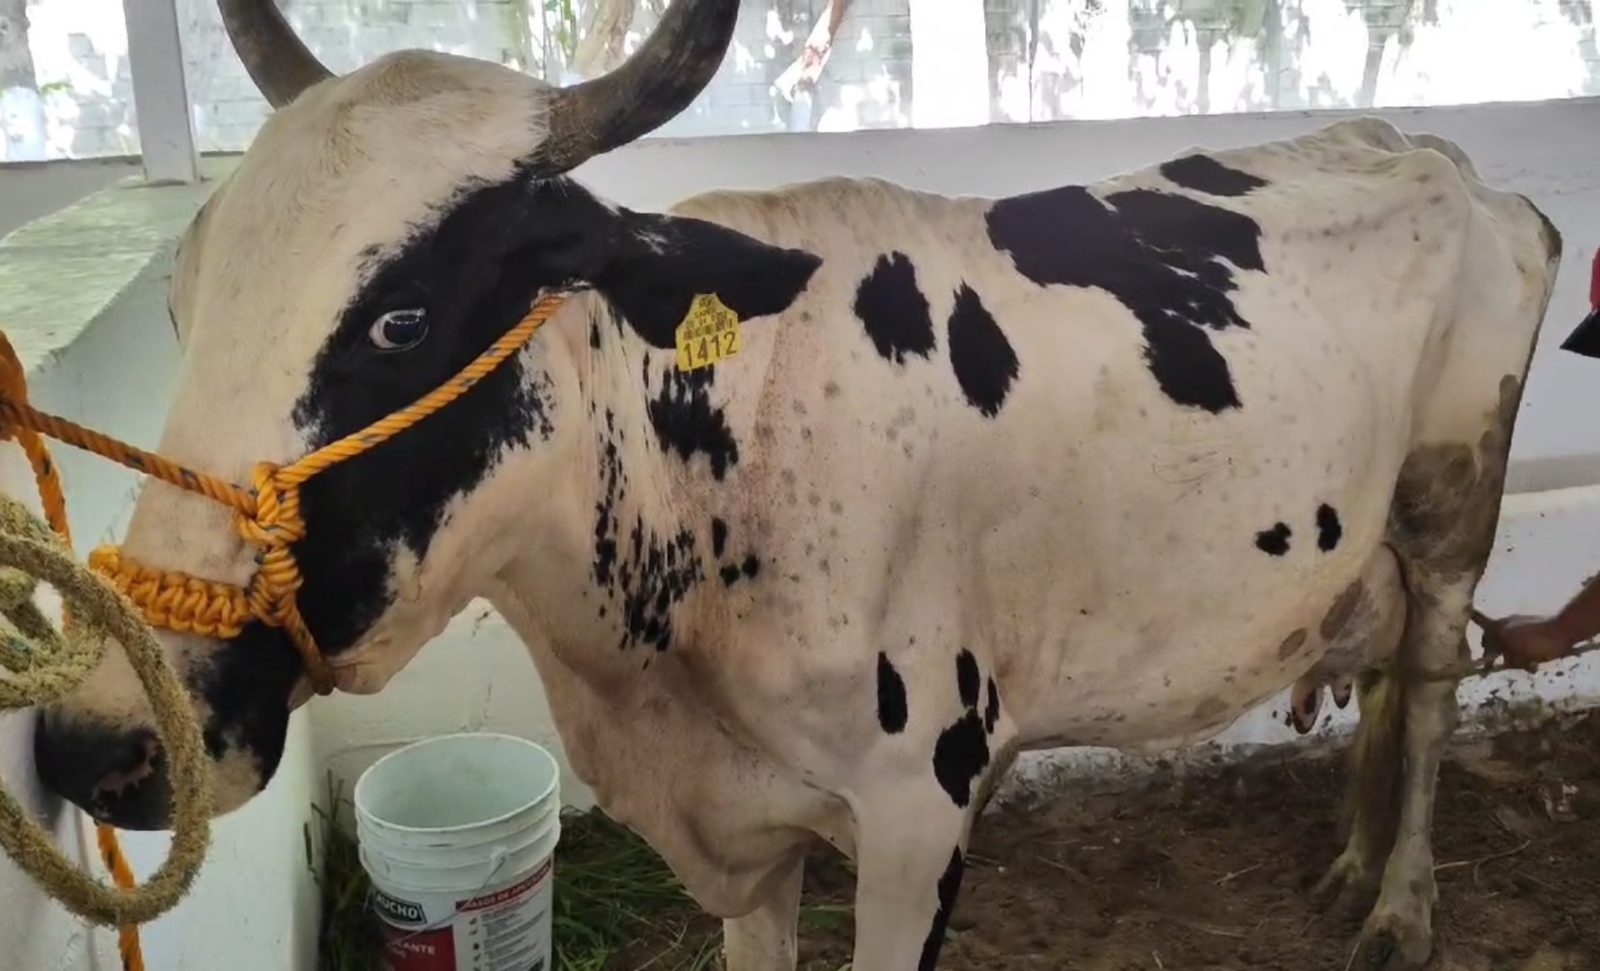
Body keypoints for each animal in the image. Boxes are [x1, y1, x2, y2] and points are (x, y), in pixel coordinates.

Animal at [29, 0, 1569, 967]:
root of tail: (1429, 152)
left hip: (1453, 508)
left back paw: (1400, 905)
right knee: (1379, 678)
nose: (103, 734)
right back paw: (1350, 866)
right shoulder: (730, 836)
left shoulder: (918, 813)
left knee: (1429, 690)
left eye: (402, 321)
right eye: (180, 302)